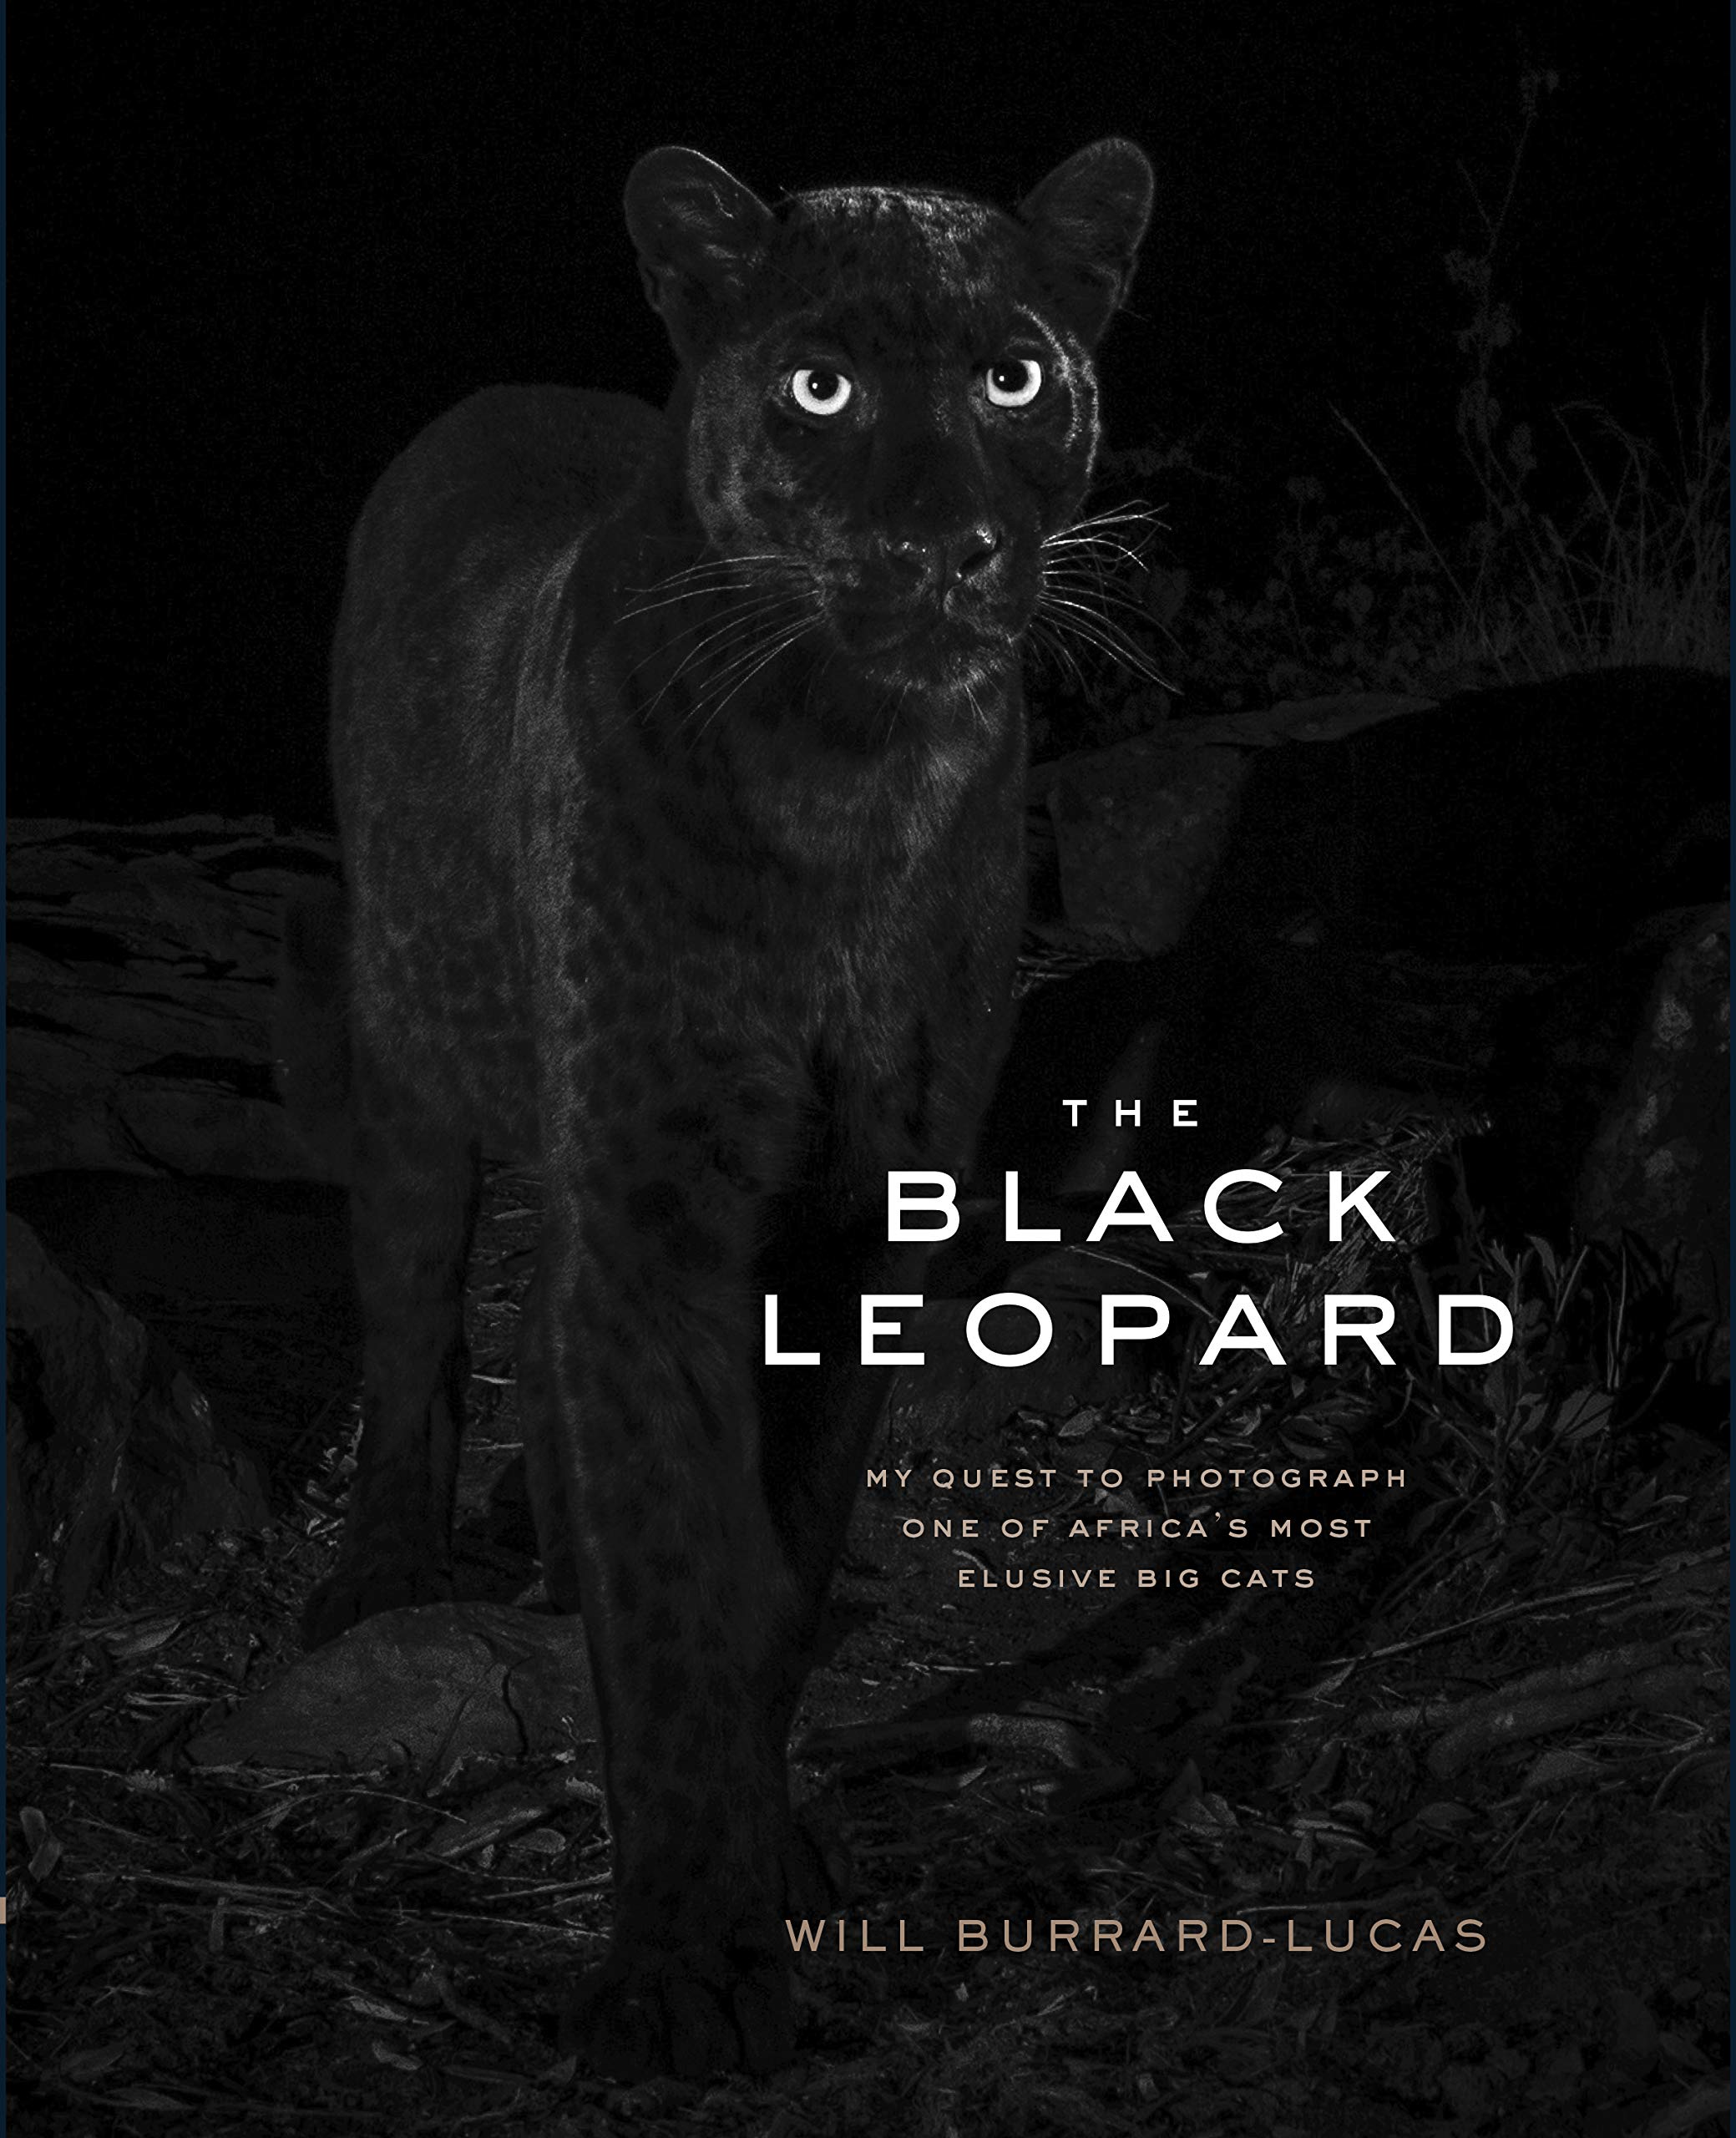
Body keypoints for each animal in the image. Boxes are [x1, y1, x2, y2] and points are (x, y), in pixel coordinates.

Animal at [286, 137, 1153, 2081]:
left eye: (1012, 374)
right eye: (817, 387)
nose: (930, 547)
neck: (850, 770)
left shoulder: (859, 1215)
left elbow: (777, 1563)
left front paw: (772, 1858)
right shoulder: (656, 1199)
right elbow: (687, 1567)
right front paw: (682, 1973)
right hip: (410, 1053)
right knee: (412, 1314)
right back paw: (384, 1573)